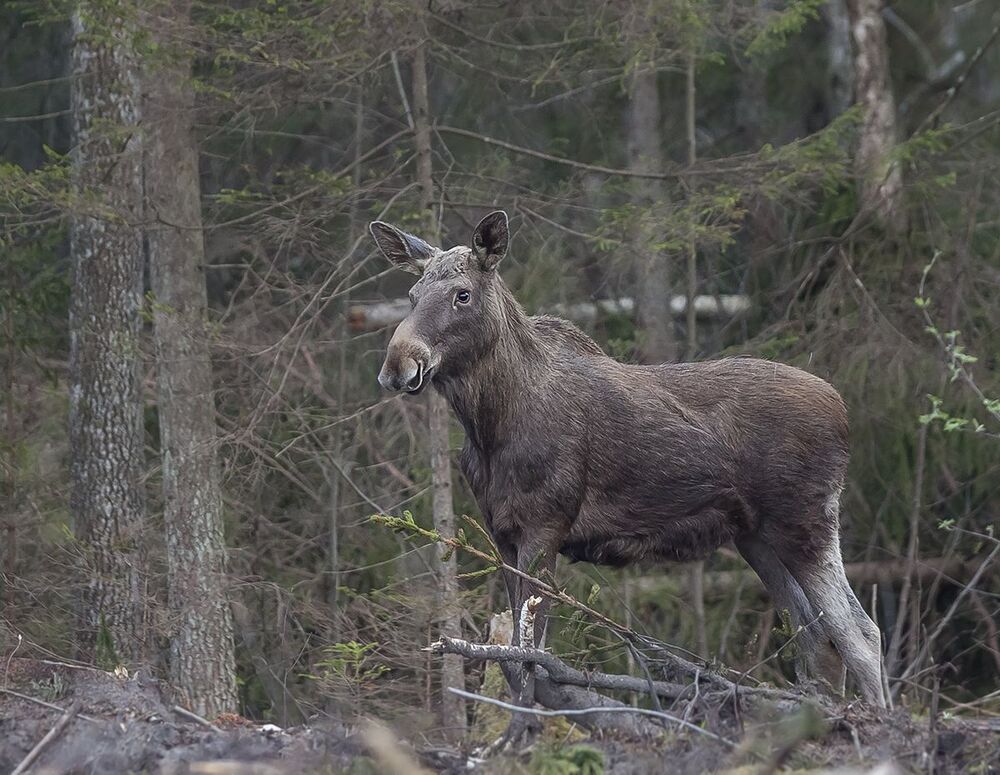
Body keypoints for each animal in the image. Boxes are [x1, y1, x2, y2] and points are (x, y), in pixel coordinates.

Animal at [369, 210, 886, 744]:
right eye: (411, 294)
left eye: (462, 294)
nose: (397, 365)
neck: (492, 425)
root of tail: (843, 409)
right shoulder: (502, 535)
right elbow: (514, 654)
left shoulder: (544, 526)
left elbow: (529, 654)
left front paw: (523, 736)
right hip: (755, 536)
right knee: (816, 636)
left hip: (806, 521)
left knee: (860, 632)